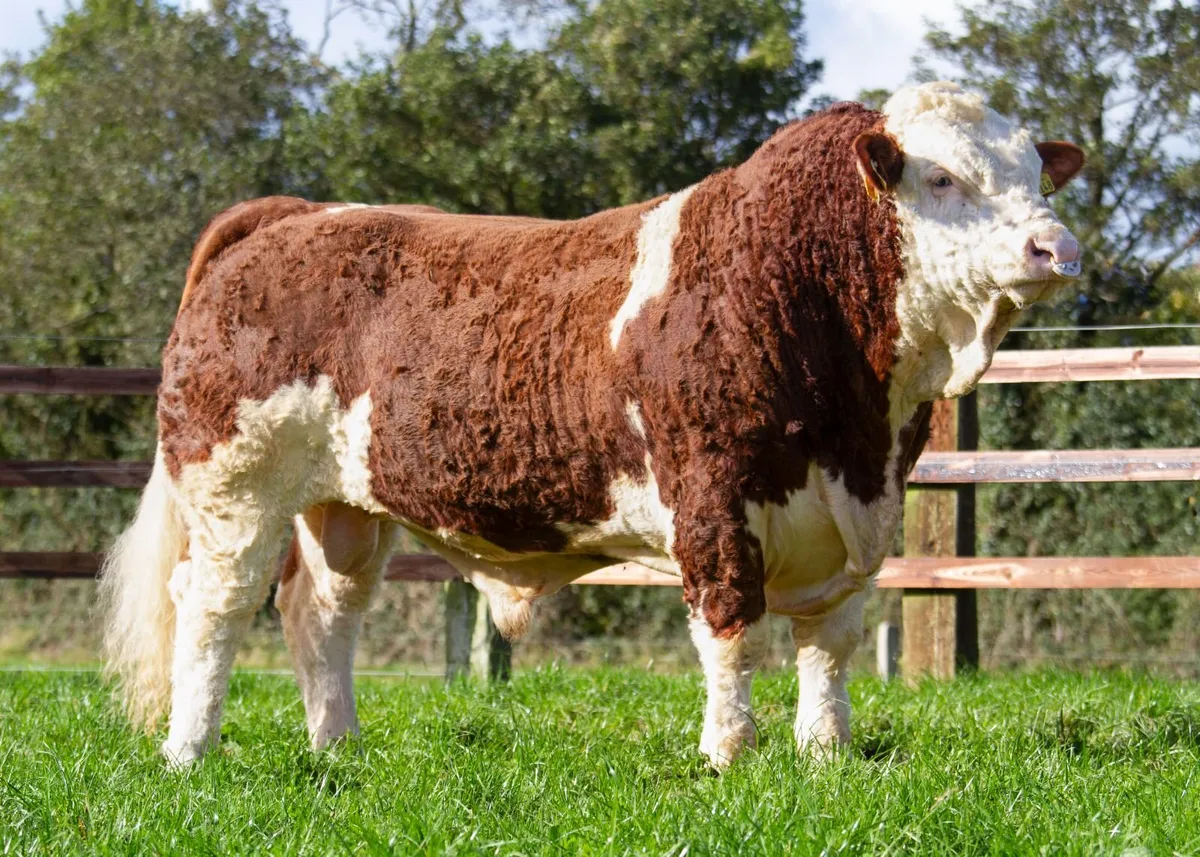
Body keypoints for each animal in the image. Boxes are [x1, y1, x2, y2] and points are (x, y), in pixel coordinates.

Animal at [101, 81, 1084, 767]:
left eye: (1036, 173)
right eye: (942, 176)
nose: (1057, 247)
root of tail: (293, 214)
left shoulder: (855, 518)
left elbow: (830, 645)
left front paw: (825, 753)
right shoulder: (712, 499)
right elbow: (731, 628)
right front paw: (730, 754)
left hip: (343, 506)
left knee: (322, 613)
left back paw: (337, 745)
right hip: (236, 489)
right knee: (214, 606)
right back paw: (189, 750)